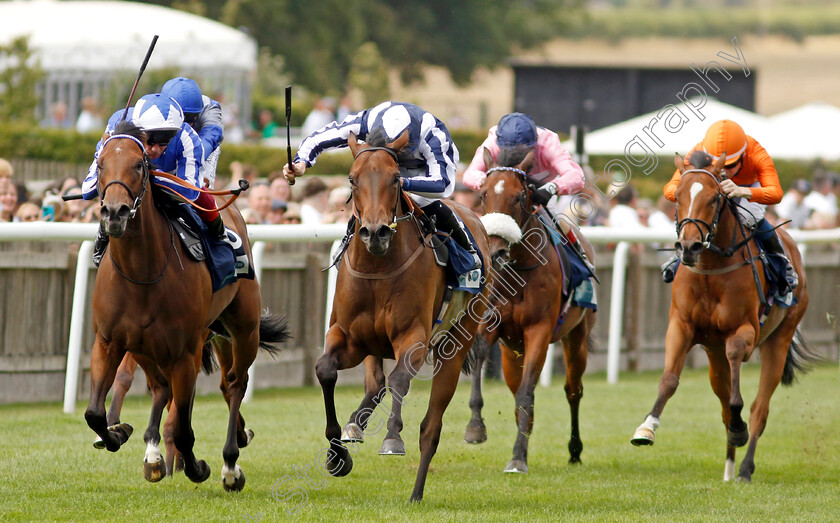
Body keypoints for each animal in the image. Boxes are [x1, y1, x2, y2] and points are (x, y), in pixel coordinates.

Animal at [84, 123, 288, 492]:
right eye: (100, 163)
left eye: (139, 165)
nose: (115, 213)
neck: (143, 272)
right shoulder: (109, 342)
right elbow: (94, 413)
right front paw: (117, 433)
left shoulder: (183, 352)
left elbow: (183, 426)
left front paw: (198, 467)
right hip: (154, 345)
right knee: (166, 386)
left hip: (242, 328)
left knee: (234, 384)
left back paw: (230, 464)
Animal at [318, 129, 496, 502]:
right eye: (352, 179)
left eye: (395, 178)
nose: (375, 232)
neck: (378, 268)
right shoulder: (347, 336)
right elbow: (325, 370)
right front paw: (336, 454)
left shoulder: (413, 337)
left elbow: (400, 380)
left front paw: (392, 437)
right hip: (375, 345)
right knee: (375, 383)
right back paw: (356, 424)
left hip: (456, 344)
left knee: (431, 427)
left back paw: (416, 492)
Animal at [462, 148, 592, 474]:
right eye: (482, 194)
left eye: (520, 197)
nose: (495, 251)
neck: (518, 269)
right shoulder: (490, 323)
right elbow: (480, 359)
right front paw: (475, 428)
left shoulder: (539, 331)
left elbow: (527, 393)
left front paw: (518, 457)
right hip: (511, 353)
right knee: (517, 391)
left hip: (577, 337)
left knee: (573, 389)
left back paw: (574, 450)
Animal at [632, 150, 812, 484]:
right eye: (677, 196)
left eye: (715, 197)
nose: (689, 246)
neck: (710, 271)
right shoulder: (681, 327)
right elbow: (669, 379)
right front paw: (646, 428)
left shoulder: (746, 331)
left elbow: (737, 376)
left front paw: (740, 430)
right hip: (713, 356)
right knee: (724, 401)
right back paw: (729, 466)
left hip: (779, 339)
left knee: (759, 408)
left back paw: (744, 467)